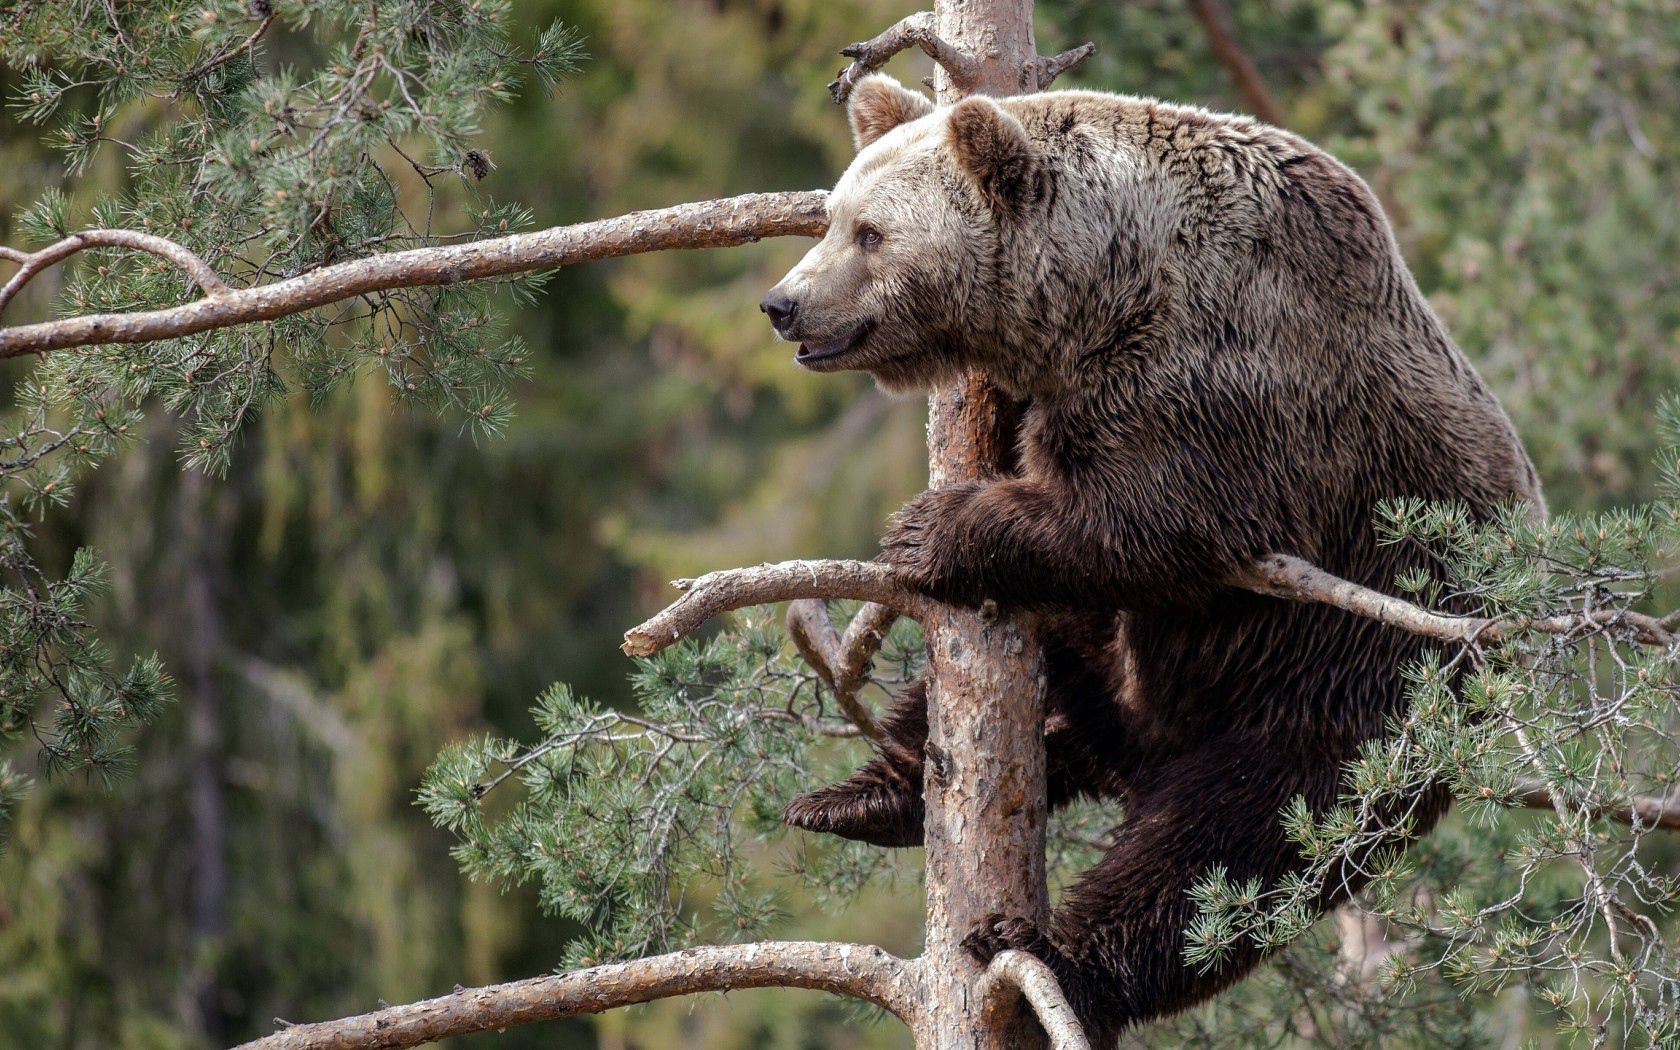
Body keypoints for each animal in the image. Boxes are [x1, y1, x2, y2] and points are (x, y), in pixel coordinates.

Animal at [759, 75, 1538, 1041]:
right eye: (831, 217)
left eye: (870, 232)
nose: (783, 303)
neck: (1104, 288)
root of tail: (1138, 755)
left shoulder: (1224, 379)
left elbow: (1156, 519)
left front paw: (929, 528)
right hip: (1134, 662)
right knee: (1025, 681)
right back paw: (863, 797)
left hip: (1355, 689)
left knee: (1224, 855)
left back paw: (1053, 959)